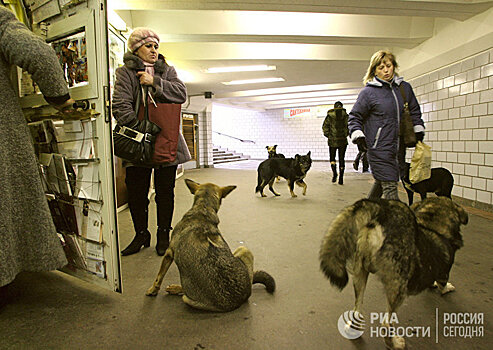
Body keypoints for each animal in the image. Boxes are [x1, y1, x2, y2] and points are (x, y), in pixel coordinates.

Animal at [146, 180, 276, 312]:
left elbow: (159, 276)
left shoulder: (169, 253)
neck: (204, 208)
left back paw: (176, 288)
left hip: (242, 249)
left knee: (184, 291)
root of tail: (235, 302)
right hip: (244, 250)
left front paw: (153, 290)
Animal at [320, 198, 466, 348]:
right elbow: (443, 283)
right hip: (398, 287)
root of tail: (382, 209)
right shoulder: (444, 272)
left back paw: (354, 329)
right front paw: (447, 287)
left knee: (357, 309)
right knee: (386, 324)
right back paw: (395, 343)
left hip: (360, 273)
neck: (433, 227)